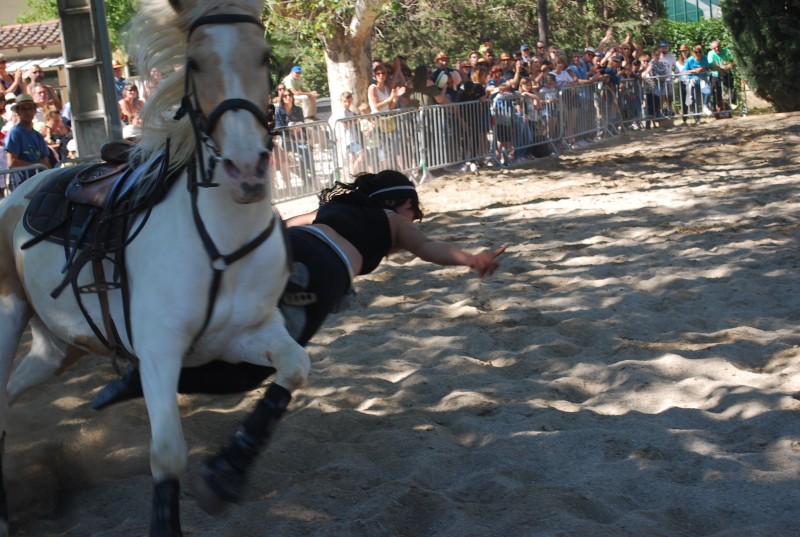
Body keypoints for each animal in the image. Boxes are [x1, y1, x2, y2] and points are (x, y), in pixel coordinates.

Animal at [0, 0, 310, 532]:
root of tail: (25, 188)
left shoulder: (248, 334)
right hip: (7, 319)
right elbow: (166, 454)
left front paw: (227, 473)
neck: (221, 241)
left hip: (58, 347)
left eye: (265, 57)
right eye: (196, 64)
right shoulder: (159, 351)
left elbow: (295, 366)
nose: (246, 169)